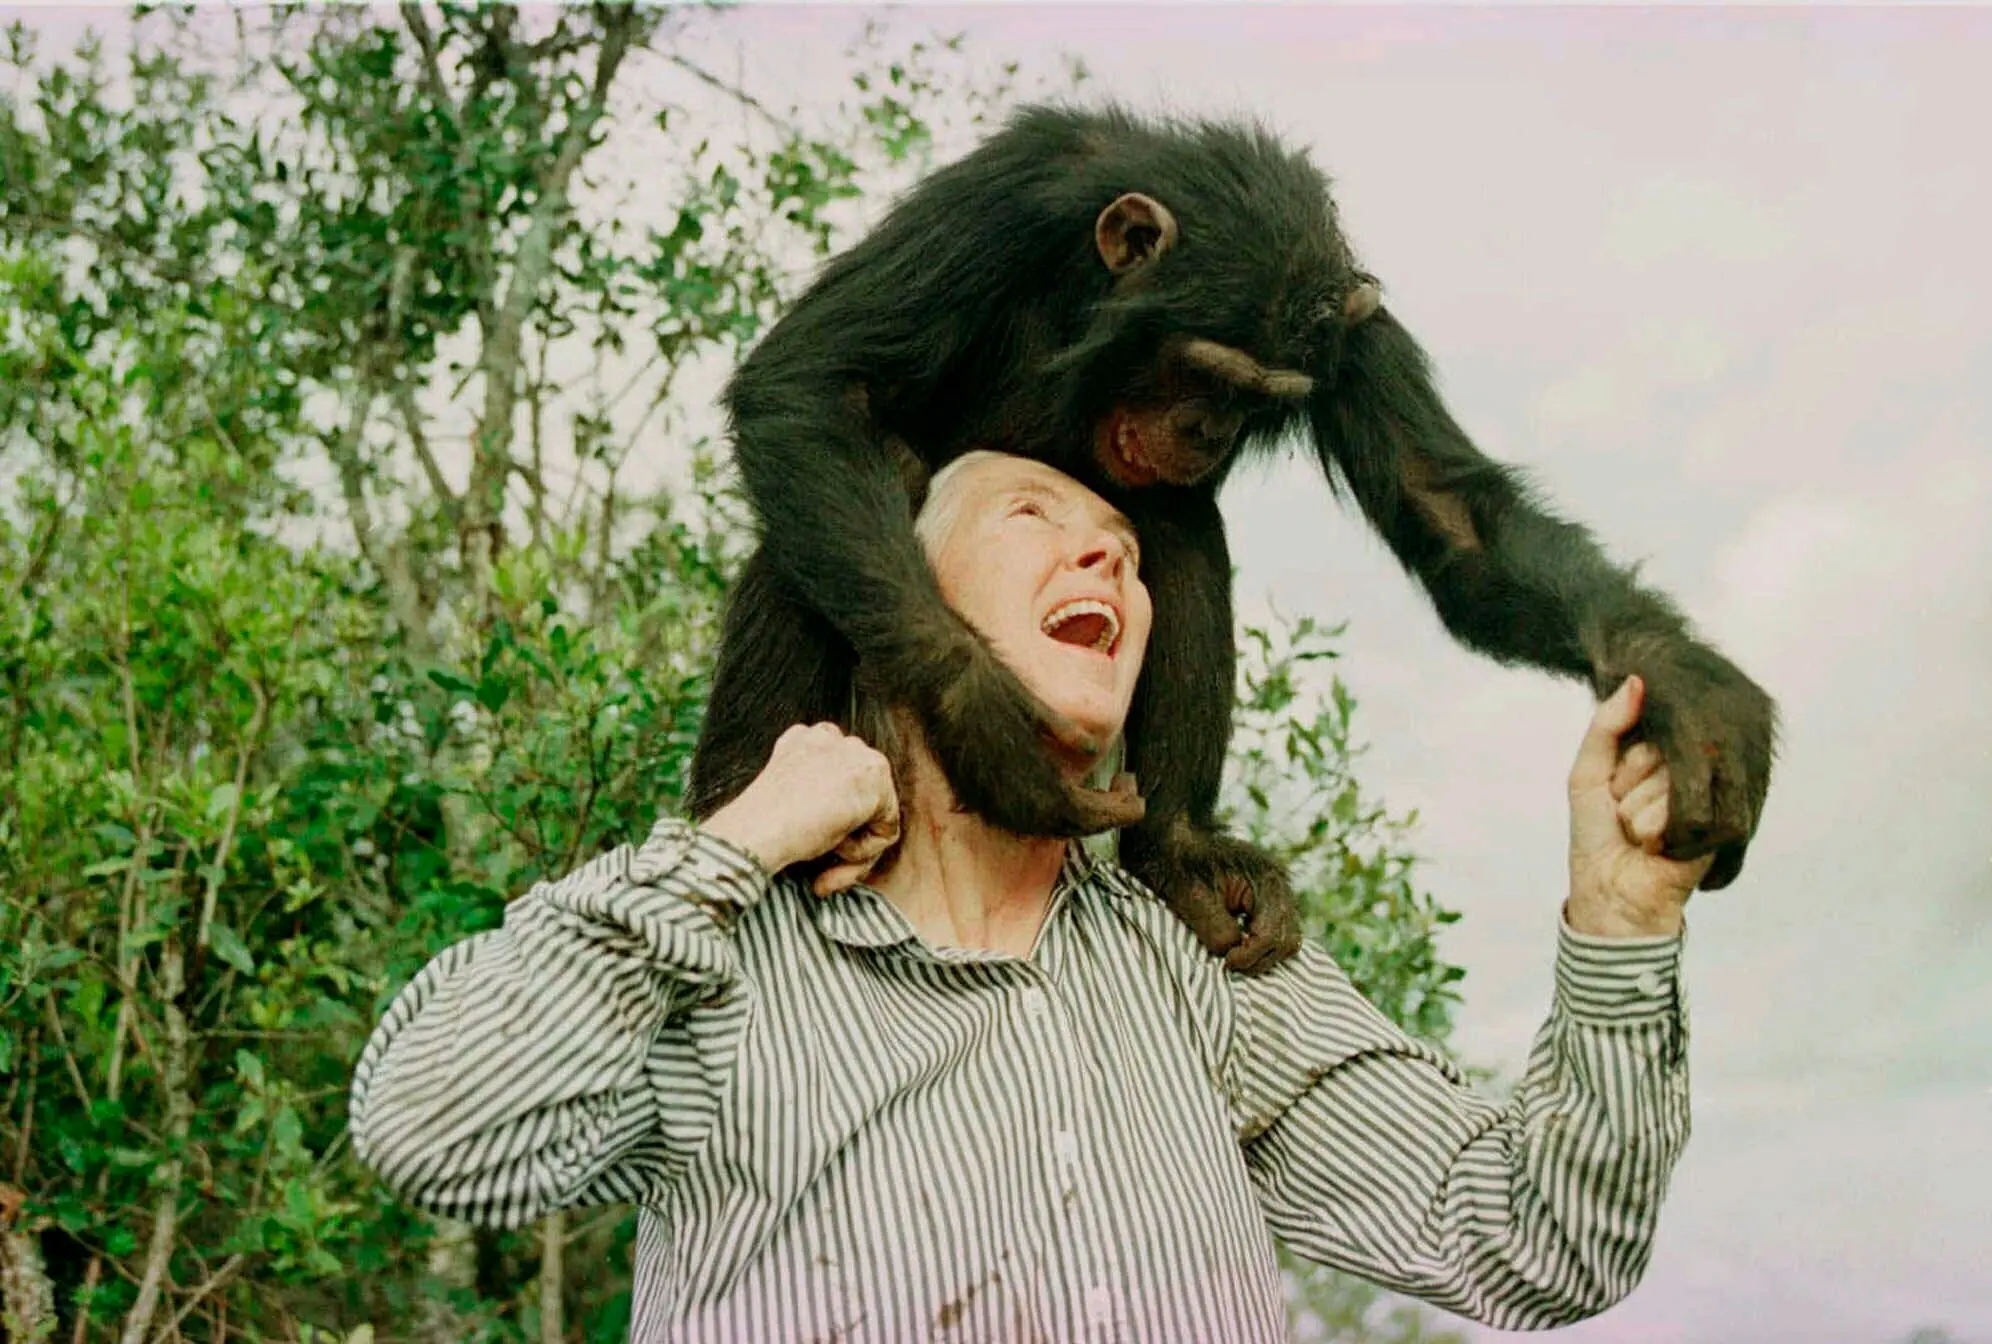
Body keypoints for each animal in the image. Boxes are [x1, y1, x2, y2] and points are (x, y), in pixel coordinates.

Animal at [683, 103, 1777, 973]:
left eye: (1260, 398)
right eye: (1203, 369)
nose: (1206, 429)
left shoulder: (1354, 338)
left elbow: (1452, 516)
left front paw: (1686, 688)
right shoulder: (999, 202)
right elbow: (816, 380)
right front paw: (987, 727)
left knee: (1181, 528)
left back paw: (1178, 848)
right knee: (830, 522)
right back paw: (741, 808)